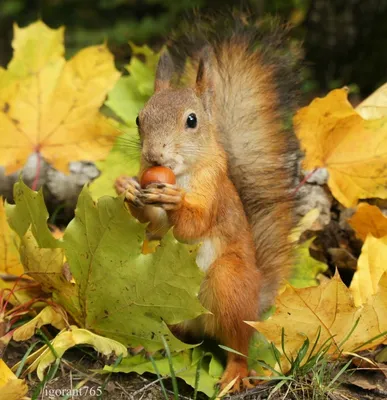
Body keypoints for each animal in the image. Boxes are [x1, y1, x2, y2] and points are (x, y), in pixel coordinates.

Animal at [114, 14, 300, 390]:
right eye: (140, 118)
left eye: (191, 120)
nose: (154, 155)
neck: (184, 173)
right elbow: (153, 225)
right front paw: (126, 188)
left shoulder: (214, 193)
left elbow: (194, 225)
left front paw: (173, 200)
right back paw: (147, 343)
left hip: (229, 285)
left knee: (238, 346)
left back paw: (234, 374)